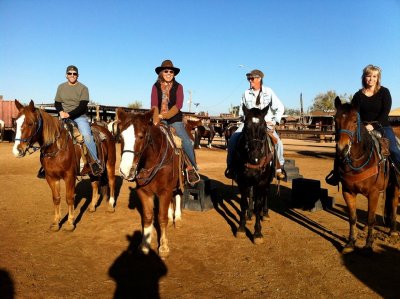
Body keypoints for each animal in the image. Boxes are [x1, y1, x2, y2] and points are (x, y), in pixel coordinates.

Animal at [11, 100, 117, 232]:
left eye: (30, 124)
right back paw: (92, 206)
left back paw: (111, 206)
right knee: (95, 184)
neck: (57, 148)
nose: (17, 151)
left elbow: (69, 198)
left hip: (110, 163)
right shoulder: (51, 178)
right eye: (15, 122)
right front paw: (56, 222)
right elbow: (56, 198)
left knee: (111, 182)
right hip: (92, 170)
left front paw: (70, 222)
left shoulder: (69, 176)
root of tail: (106, 131)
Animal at [116, 107, 184, 258]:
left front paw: (163, 247)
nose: (125, 170)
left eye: (141, 136)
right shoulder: (144, 192)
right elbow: (148, 217)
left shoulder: (165, 191)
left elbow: (162, 218)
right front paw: (145, 245)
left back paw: (177, 218)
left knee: (178, 195)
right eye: (121, 137)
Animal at [234, 104, 276, 245]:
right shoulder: (242, 181)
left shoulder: (262, 182)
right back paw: (249, 215)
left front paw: (257, 233)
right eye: (246, 126)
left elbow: (258, 204)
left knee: (266, 193)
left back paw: (265, 213)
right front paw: (241, 228)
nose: (255, 157)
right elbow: (243, 203)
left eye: (264, 127)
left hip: (268, 180)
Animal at [334, 98, 396, 253]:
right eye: (335, 119)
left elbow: (370, 219)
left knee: (394, 203)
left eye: (355, 121)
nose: (342, 149)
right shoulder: (348, 192)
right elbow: (353, 218)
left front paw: (368, 245)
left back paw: (393, 231)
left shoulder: (374, 193)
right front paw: (351, 242)